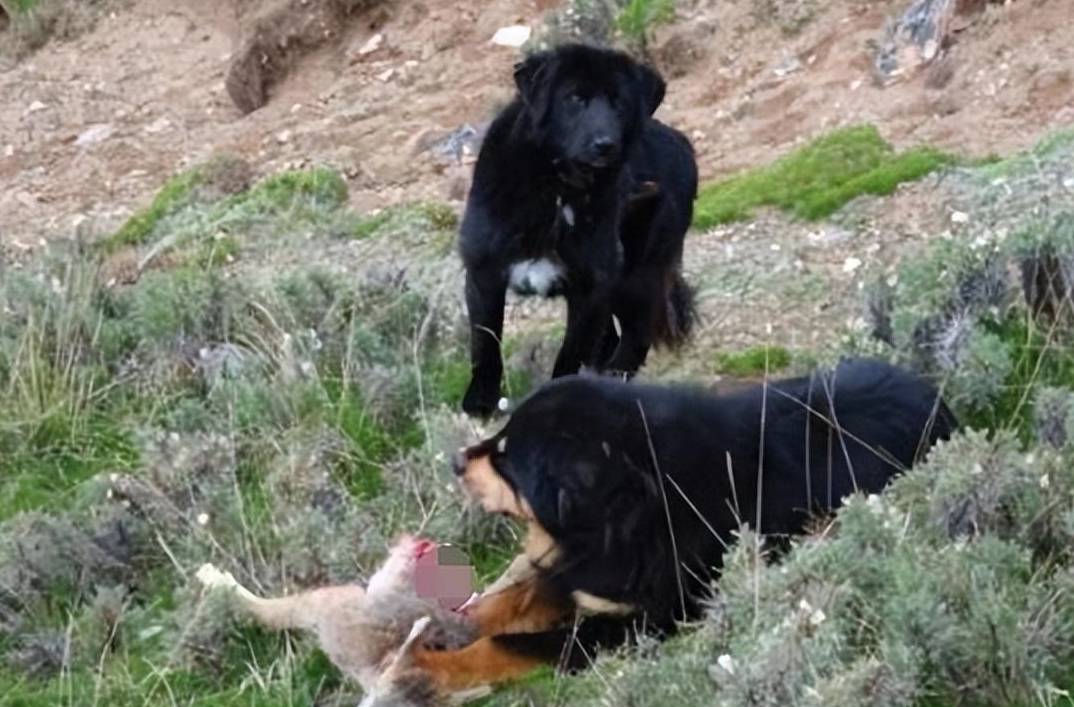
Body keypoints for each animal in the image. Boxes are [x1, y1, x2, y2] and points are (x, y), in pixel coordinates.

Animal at [410, 354, 958, 687]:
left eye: (508, 458)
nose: (456, 461)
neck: (624, 512)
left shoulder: (638, 623)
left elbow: (508, 643)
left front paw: (431, 666)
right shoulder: (579, 571)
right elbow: (506, 601)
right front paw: (441, 627)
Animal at [457, 44, 700, 414]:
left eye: (619, 102)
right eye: (574, 98)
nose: (605, 145)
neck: (559, 188)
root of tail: (681, 141)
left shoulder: (590, 289)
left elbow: (569, 355)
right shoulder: (483, 274)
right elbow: (485, 345)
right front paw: (479, 402)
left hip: (637, 275)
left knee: (634, 338)